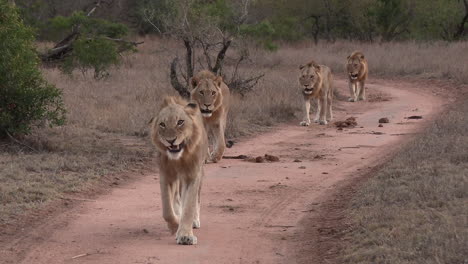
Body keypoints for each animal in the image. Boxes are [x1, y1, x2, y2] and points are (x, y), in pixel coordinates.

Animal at [150, 96, 208, 245]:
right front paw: (175, 225)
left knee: (196, 198)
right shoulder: (166, 175)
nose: (171, 141)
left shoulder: (192, 175)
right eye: (162, 124)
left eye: (180, 122)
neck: (179, 158)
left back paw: (194, 221)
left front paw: (185, 235)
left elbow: (189, 206)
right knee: (176, 198)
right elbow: (167, 210)